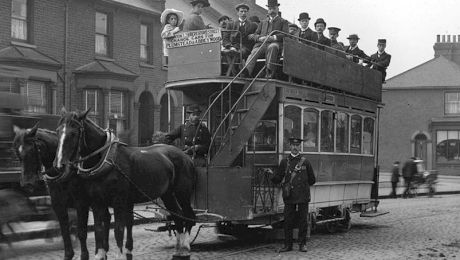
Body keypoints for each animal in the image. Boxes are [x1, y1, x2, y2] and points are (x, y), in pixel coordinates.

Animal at [12, 124, 110, 260]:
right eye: (17, 153)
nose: (27, 183)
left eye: (32, 151)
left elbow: (81, 231)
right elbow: (64, 231)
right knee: (103, 219)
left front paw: (84, 255)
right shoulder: (58, 204)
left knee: (101, 221)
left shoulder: (81, 204)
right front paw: (68, 254)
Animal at [54, 108, 198, 258]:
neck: (107, 159)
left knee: (188, 216)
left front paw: (120, 255)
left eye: (73, 133)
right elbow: (99, 229)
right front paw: (100, 254)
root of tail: (185, 155)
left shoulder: (118, 201)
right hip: (167, 194)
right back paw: (178, 248)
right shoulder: (97, 202)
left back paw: (186, 245)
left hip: (182, 193)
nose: (59, 165)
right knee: (177, 216)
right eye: (57, 131)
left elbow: (118, 230)